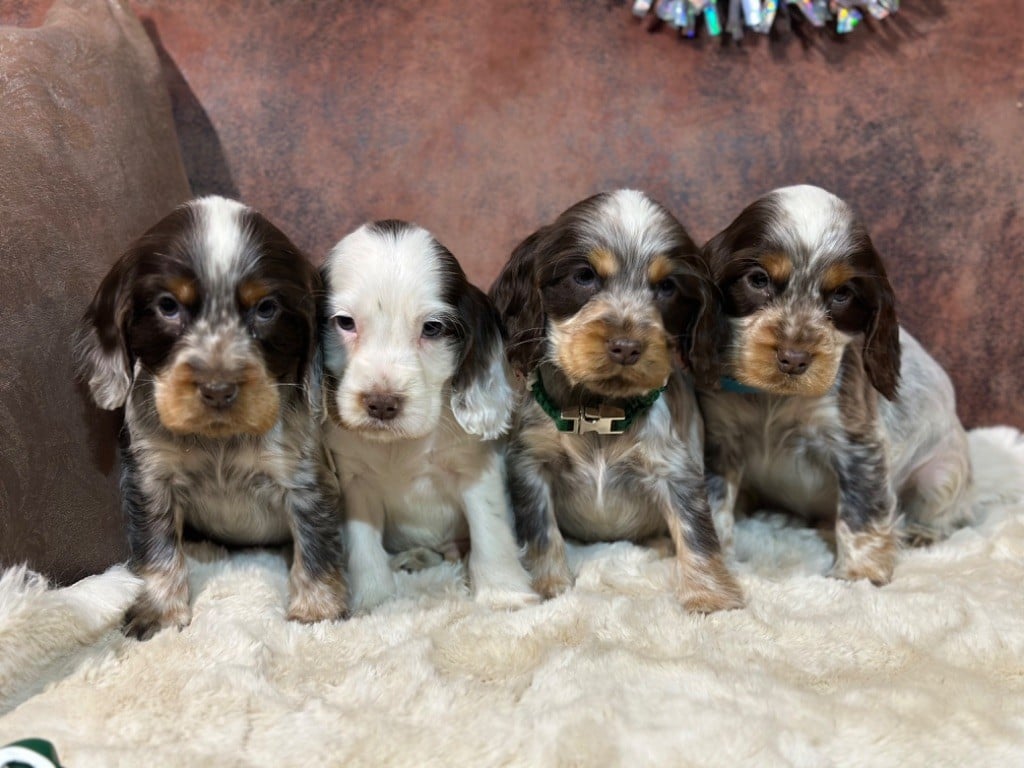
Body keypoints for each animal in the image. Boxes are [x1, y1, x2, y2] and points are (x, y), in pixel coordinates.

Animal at [75, 196, 348, 638]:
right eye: (168, 306)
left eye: (266, 308)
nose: (218, 389)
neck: (220, 440)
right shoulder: (151, 479)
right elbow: (158, 546)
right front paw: (159, 609)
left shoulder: (307, 479)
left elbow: (315, 544)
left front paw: (316, 610)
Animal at [489, 188, 745, 614]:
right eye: (584, 276)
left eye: (667, 287)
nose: (626, 347)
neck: (598, 410)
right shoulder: (530, 463)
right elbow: (540, 529)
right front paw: (549, 585)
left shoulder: (676, 469)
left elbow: (696, 532)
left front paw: (711, 595)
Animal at [700, 185, 970, 581]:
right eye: (758, 280)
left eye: (842, 294)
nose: (794, 358)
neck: (771, 399)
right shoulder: (720, 439)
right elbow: (715, 504)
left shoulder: (857, 445)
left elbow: (863, 514)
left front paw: (859, 575)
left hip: (940, 475)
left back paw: (922, 533)